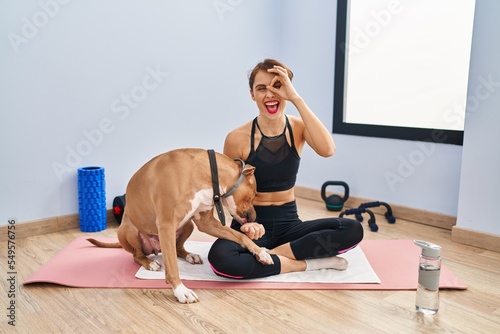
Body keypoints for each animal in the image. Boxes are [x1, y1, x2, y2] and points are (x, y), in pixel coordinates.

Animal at [88, 148, 272, 302]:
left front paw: (261, 252)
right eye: (254, 194)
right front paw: (181, 290)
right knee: (137, 255)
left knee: (176, 248)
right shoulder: (166, 225)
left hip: (187, 225)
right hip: (128, 230)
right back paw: (149, 262)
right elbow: (172, 266)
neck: (206, 174)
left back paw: (190, 255)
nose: (255, 217)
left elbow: (241, 236)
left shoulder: (206, 223)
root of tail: (155, 248)